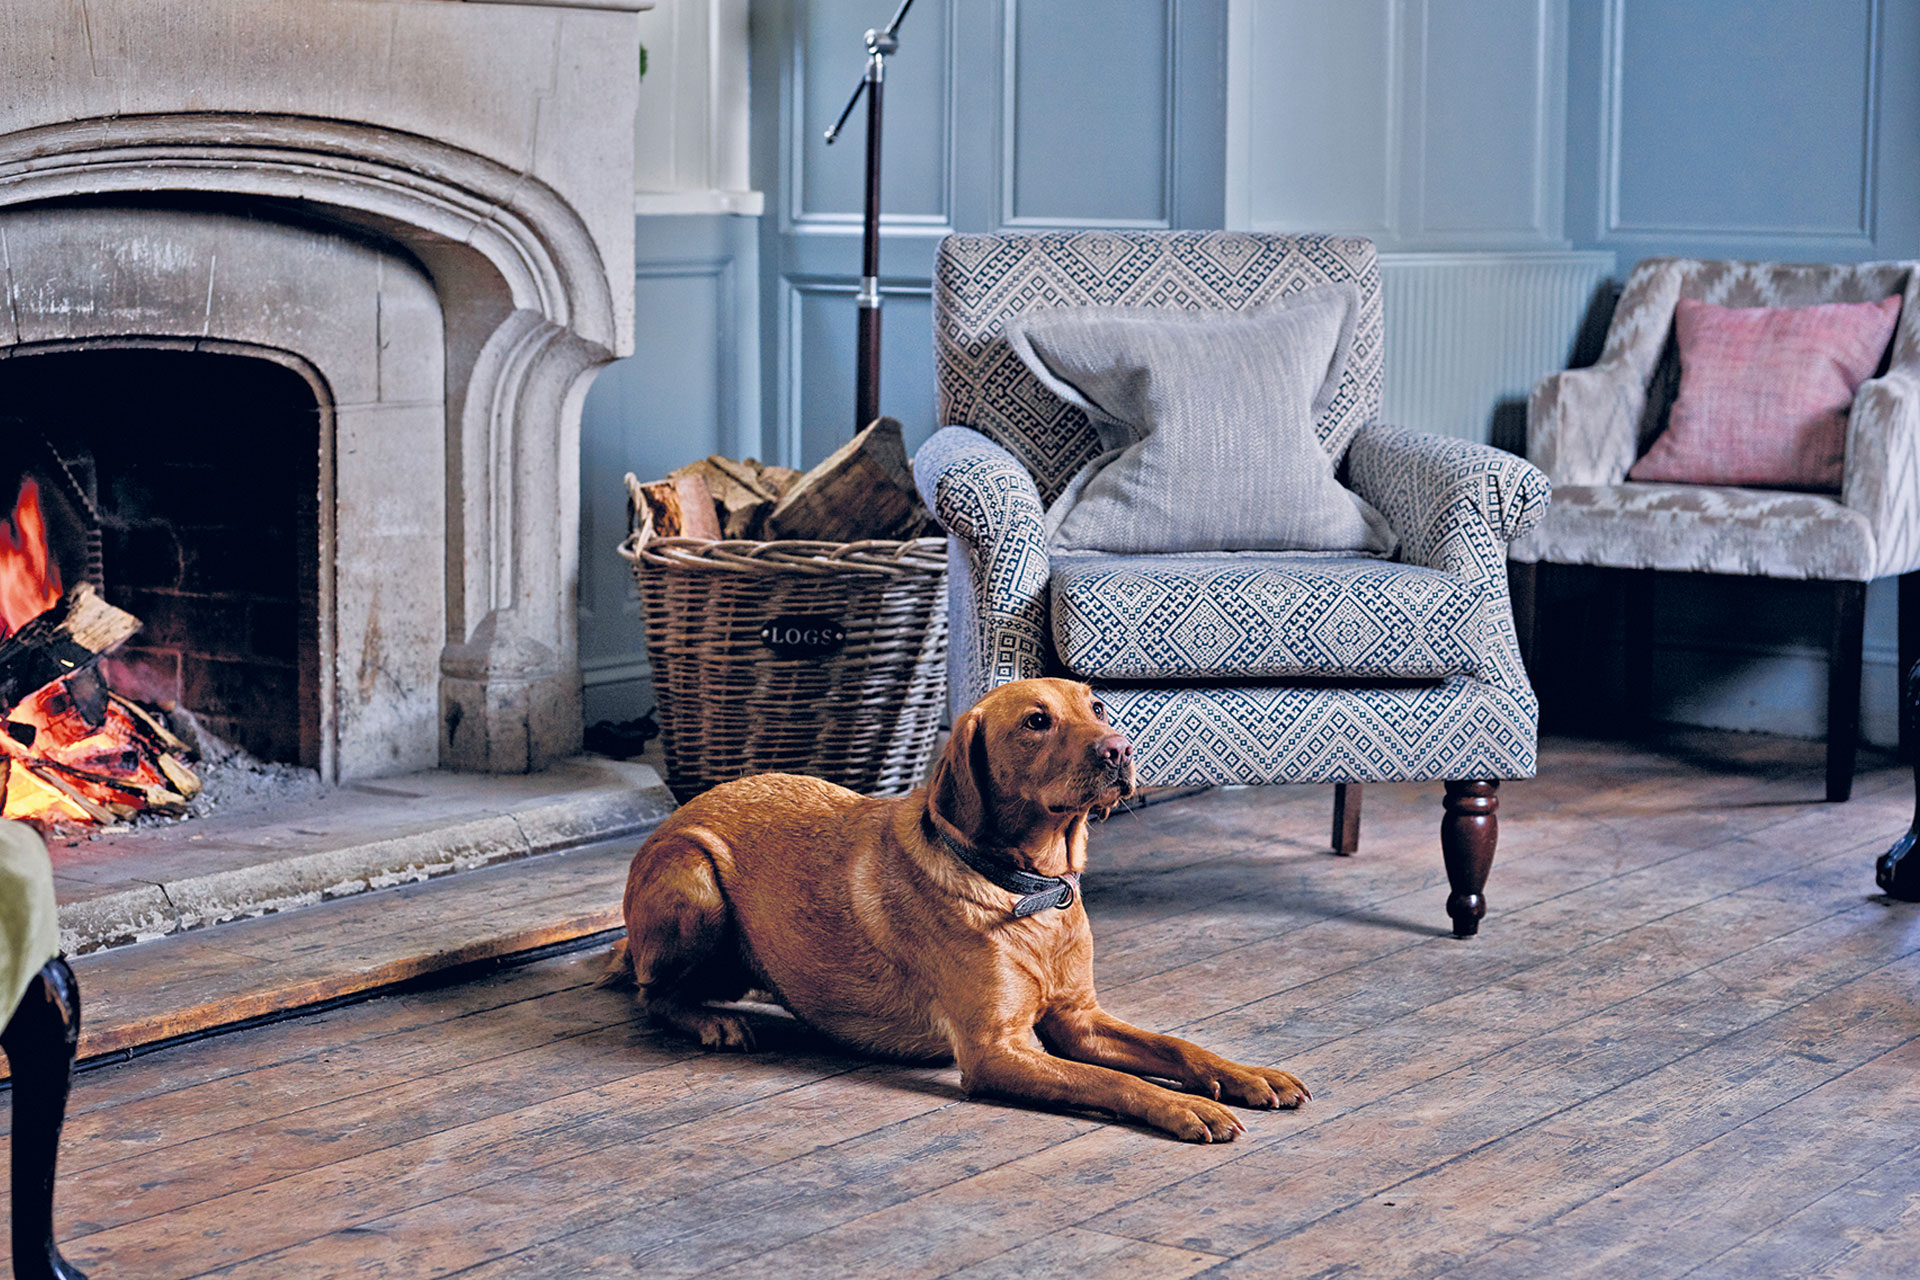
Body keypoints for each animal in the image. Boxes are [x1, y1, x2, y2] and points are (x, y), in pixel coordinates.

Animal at [606, 675, 1313, 1143]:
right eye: (1036, 722)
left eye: (1097, 706)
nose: (1119, 749)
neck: (1033, 890)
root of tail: (679, 815)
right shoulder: (996, 1051)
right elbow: (1113, 1082)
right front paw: (1184, 1107)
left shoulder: (1080, 1021)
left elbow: (1178, 1045)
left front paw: (1243, 1074)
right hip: (695, 880)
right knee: (651, 991)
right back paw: (713, 1022)